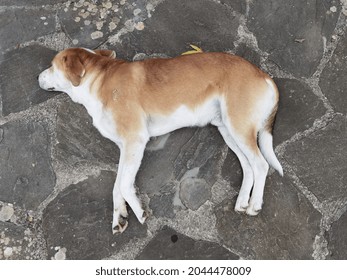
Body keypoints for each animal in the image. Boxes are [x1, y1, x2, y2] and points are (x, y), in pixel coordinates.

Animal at [38, 47, 284, 234]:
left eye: (52, 66)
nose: (38, 77)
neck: (98, 81)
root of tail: (264, 76)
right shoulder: (125, 148)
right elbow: (117, 185)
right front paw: (119, 216)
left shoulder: (135, 140)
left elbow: (124, 185)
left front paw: (139, 212)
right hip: (228, 129)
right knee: (249, 167)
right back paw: (242, 201)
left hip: (238, 126)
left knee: (261, 165)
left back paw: (254, 205)